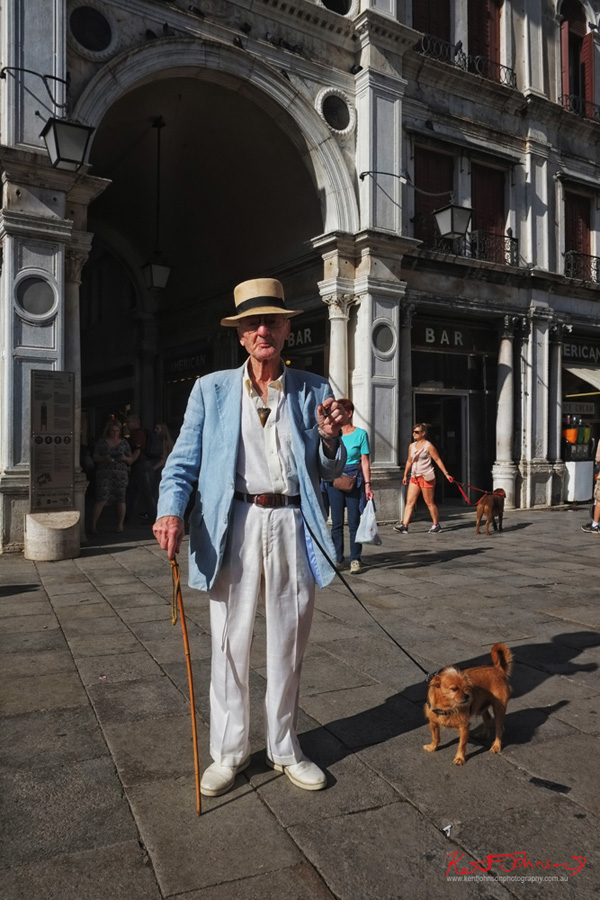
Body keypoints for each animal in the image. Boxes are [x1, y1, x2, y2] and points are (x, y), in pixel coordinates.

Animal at [424, 640, 512, 768]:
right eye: (454, 689)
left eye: (467, 687)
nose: (467, 696)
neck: (447, 705)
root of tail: (498, 669)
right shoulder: (433, 723)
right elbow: (436, 737)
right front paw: (432, 747)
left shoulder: (464, 727)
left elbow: (462, 745)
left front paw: (460, 758)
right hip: (481, 706)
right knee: (487, 717)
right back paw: (484, 734)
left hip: (499, 709)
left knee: (499, 728)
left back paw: (496, 746)